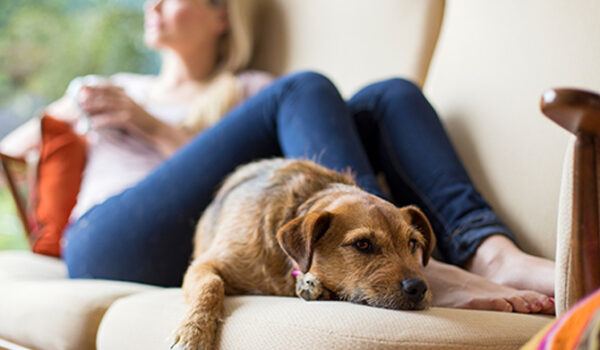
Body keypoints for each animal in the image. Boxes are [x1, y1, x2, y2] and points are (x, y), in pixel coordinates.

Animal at [171, 159, 434, 350]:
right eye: (363, 244)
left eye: (412, 243)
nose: (419, 287)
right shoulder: (204, 264)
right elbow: (212, 285)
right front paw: (193, 332)